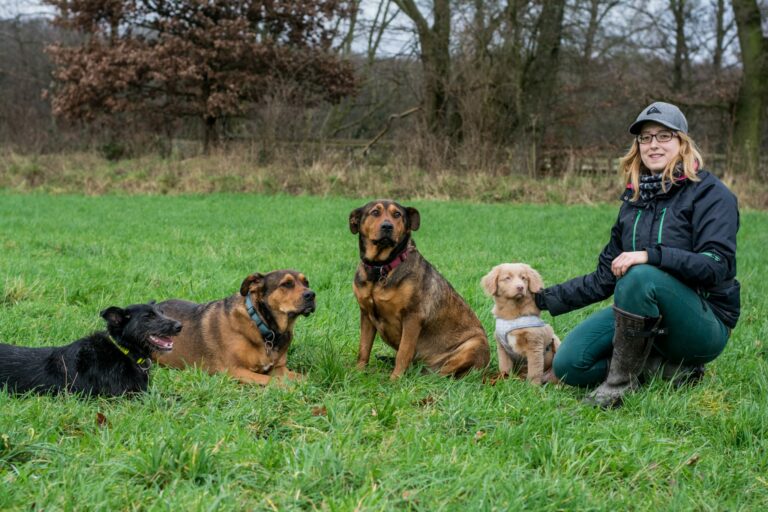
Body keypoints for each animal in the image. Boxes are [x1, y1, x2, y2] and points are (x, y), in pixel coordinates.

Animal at [156, 272, 316, 384]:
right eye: (286, 284)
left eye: (306, 282)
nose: (311, 294)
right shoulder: (234, 371)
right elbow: (272, 381)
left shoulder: (279, 369)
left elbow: (304, 377)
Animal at [350, 200, 488, 380]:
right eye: (375, 212)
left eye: (397, 214)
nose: (387, 226)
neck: (380, 268)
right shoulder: (366, 314)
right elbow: (364, 348)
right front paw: (358, 373)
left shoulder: (413, 316)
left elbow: (404, 352)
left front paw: (395, 380)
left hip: (475, 344)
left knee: (443, 374)